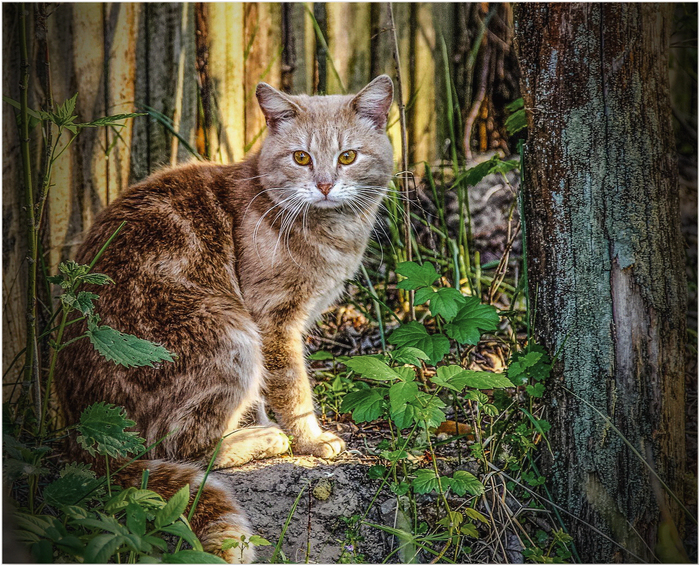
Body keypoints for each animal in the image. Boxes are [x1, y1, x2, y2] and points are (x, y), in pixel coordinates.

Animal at [54, 75, 394, 564]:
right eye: (301, 157)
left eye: (348, 156)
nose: (326, 184)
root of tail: (85, 431)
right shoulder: (270, 320)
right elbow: (292, 387)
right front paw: (309, 439)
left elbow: (266, 395)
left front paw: (267, 421)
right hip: (228, 333)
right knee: (183, 448)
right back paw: (260, 440)